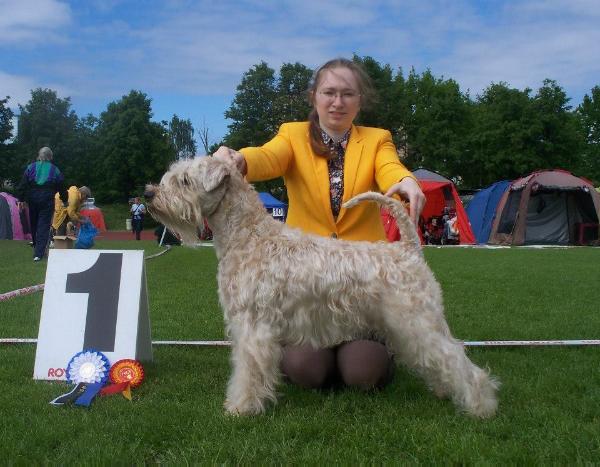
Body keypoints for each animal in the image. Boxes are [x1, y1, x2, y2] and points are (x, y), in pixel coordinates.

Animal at [143, 156, 500, 416]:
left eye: (184, 180)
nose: (148, 194)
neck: (248, 237)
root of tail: (410, 248)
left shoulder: (252, 327)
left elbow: (248, 371)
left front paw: (241, 407)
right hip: (405, 326)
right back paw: (445, 390)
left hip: (417, 320)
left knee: (456, 357)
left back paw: (481, 405)